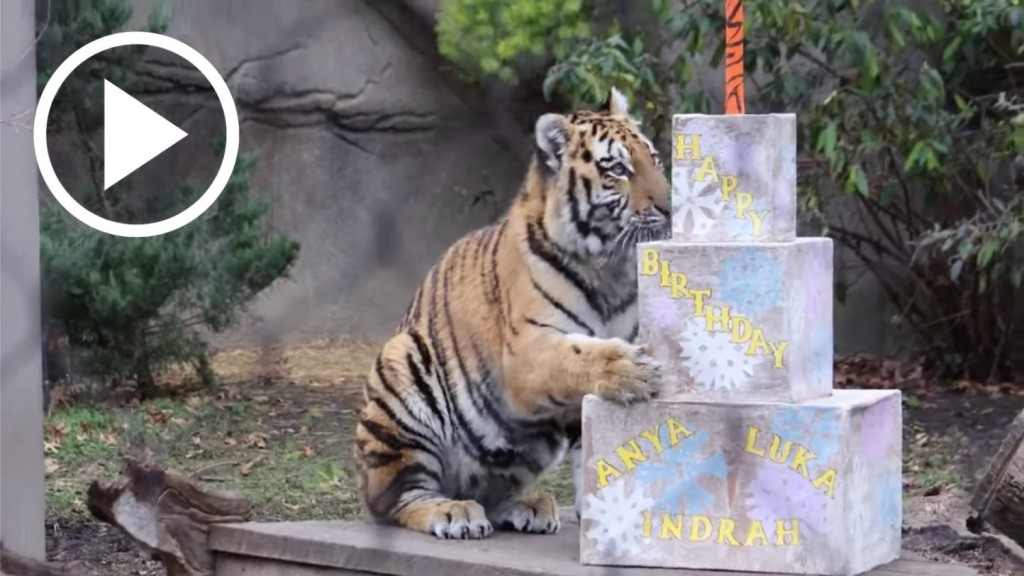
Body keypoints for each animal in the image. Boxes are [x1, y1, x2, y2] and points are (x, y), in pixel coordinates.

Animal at [353, 87, 670, 540]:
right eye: (618, 169)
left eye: (654, 159)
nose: (670, 206)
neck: (612, 268)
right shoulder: (527, 351)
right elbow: (576, 355)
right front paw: (630, 371)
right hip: (403, 363)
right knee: (396, 498)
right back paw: (452, 511)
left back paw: (528, 506)